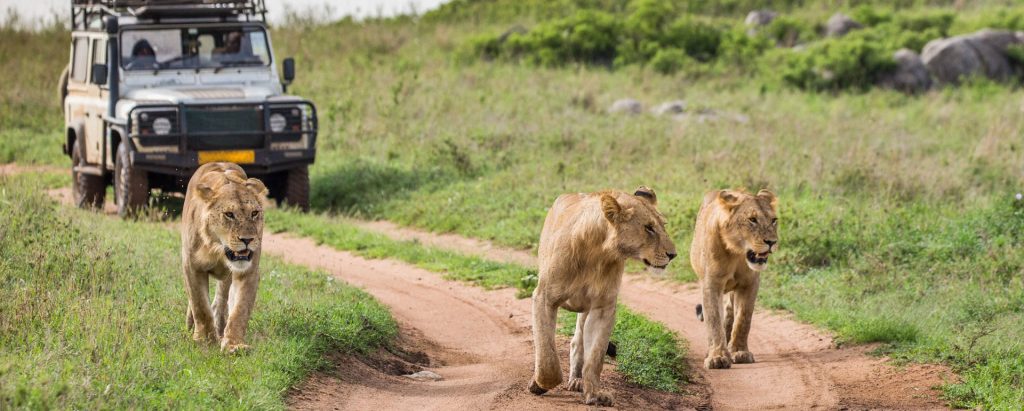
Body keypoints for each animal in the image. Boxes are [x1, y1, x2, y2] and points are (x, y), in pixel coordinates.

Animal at [181, 162, 268, 353]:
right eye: (229, 214)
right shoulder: (191, 266)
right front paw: (205, 340)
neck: (218, 248)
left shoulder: (248, 271)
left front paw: (234, 345)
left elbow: (240, 309)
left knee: (221, 301)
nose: (247, 240)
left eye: (254, 213)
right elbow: (200, 305)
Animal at [529, 186, 677, 405]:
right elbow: (547, 354)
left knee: (578, 342)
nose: (673, 255)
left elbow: (595, 357)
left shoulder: (602, 308)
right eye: (649, 228)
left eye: (662, 225)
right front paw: (539, 385)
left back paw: (577, 380)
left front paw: (595, 394)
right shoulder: (544, 298)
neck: (598, 252)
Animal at [690, 189, 778, 369]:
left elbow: (743, 319)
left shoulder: (750, 283)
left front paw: (739, 352)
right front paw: (717, 357)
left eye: (774, 221)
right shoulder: (711, 284)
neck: (737, 253)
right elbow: (714, 319)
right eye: (752, 220)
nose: (772, 242)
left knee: (730, 310)